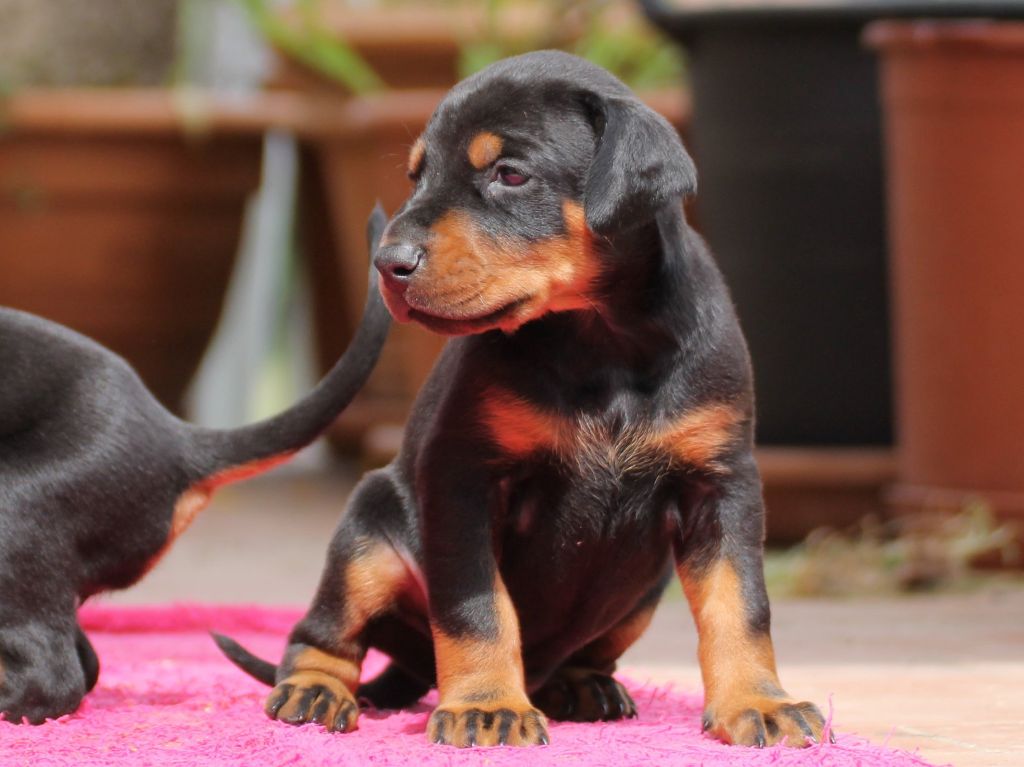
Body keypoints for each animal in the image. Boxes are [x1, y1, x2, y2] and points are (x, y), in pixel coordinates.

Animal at [216, 51, 829, 749]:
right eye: (418, 175)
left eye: (510, 174)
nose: (387, 263)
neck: (600, 343)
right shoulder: (463, 480)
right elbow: (477, 607)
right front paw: (486, 706)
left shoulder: (721, 485)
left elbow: (740, 603)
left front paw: (759, 701)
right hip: (367, 537)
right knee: (323, 633)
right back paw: (315, 691)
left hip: (642, 593)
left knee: (586, 652)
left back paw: (580, 686)